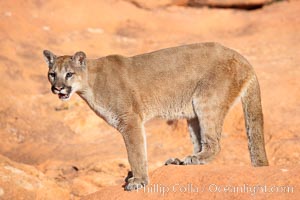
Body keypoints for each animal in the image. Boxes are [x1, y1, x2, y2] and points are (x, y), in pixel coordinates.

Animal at [42, 42, 270, 191]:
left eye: (69, 74)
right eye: (52, 74)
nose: (57, 88)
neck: (89, 84)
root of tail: (243, 58)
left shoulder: (130, 120)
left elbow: (135, 153)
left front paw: (138, 181)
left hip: (206, 101)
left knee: (214, 144)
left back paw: (194, 159)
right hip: (193, 113)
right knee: (201, 143)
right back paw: (183, 161)